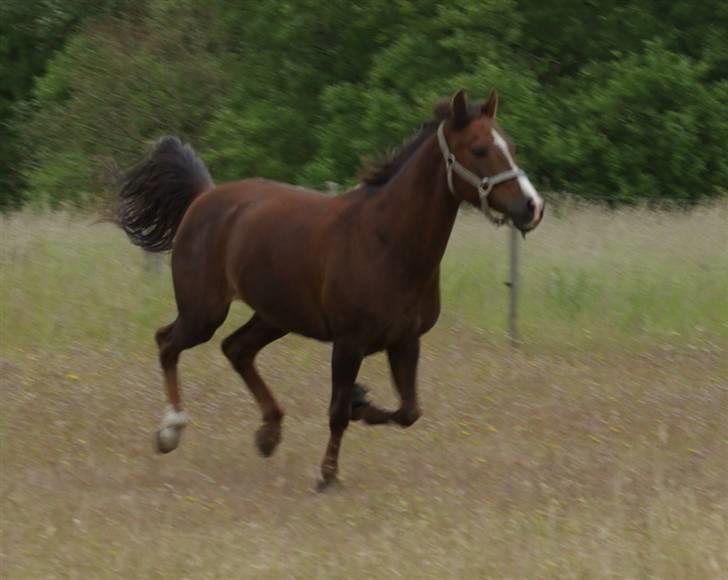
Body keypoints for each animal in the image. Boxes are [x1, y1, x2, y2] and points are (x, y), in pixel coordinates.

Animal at [116, 90, 544, 490]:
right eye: (478, 149)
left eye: (512, 147)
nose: (532, 206)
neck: (387, 242)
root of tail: (204, 196)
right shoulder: (348, 343)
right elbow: (337, 414)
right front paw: (328, 476)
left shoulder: (405, 341)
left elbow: (408, 412)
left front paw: (359, 402)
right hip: (203, 312)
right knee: (168, 342)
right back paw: (171, 430)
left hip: (275, 315)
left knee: (236, 349)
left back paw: (269, 433)